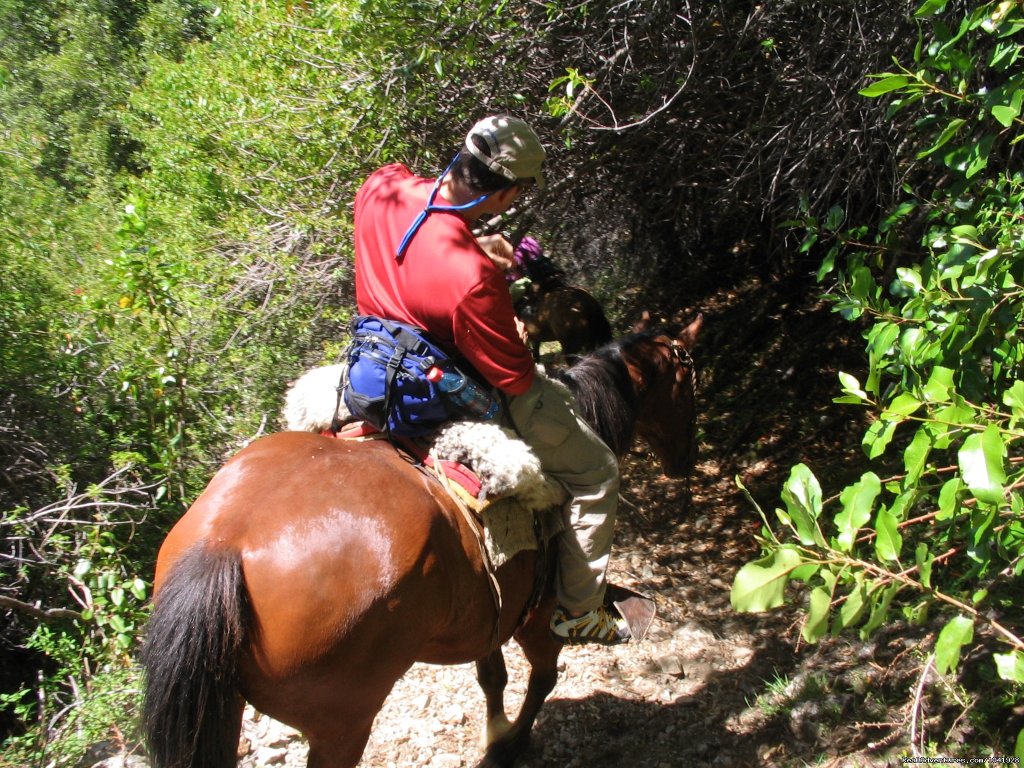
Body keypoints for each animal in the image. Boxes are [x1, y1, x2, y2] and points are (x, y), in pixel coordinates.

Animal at [142, 313, 704, 768]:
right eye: (688, 383)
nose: (688, 461)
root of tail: (224, 545)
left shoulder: (492, 611)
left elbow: (492, 677)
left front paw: (496, 734)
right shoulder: (538, 618)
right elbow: (543, 678)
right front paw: (509, 746)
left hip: (223, 709)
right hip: (342, 724)